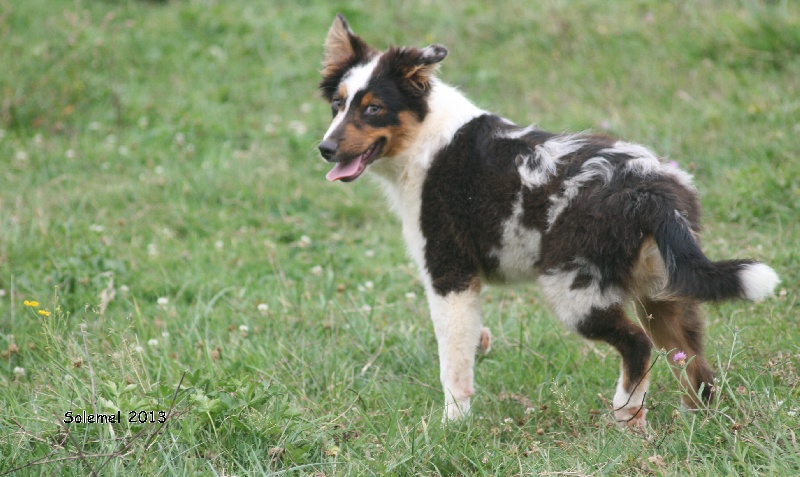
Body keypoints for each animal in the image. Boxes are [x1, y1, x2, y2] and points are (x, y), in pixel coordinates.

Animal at [316, 14, 780, 426]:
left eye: (374, 109)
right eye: (338, 105)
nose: (324, 148)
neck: (427, 137)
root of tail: (650, 190)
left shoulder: (449, 274)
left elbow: (453, 363)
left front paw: (452, 425)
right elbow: (469, 344)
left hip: (574, 289)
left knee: (638, 345)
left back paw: (627, 412)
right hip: (662, 289)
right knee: (693, 360)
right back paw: (695, 422)